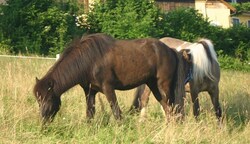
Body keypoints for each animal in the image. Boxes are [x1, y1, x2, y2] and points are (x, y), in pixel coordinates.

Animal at [33, 33, 189, 124]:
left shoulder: (108, 88)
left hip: (163, 86)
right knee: (167, 108)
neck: (89, 60)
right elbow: (90, 113)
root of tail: (171, 50)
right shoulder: (90, 91)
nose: (43, 122)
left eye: (48, 98)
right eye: (38, 100)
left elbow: (116, 112)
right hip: (153, 86)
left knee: (171, 107)